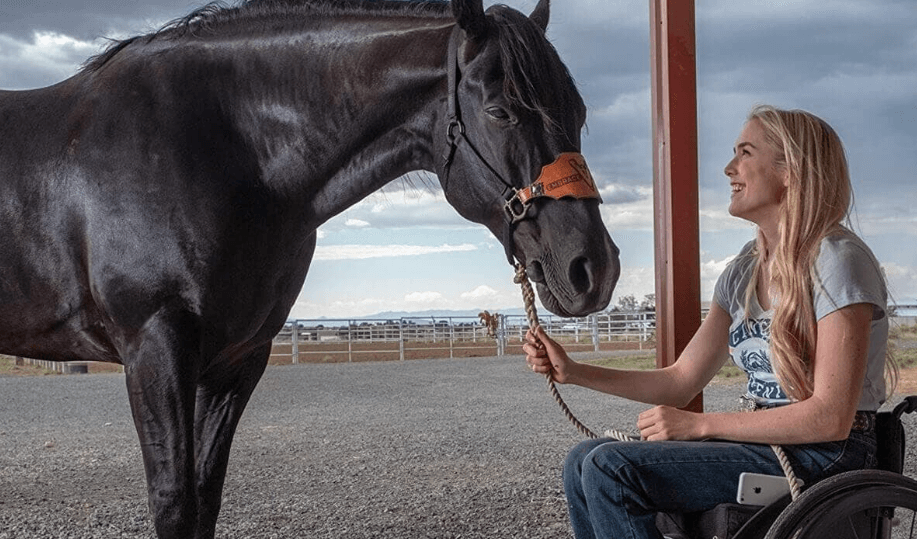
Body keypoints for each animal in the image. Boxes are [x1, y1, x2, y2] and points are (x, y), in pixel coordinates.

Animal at [0, 0, 620, 536]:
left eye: (581, 112)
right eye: (499, 111)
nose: (595, 269)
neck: (220, 148)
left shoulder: (238, 359)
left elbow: (205, 495)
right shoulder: (155, 345)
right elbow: (175, 503)